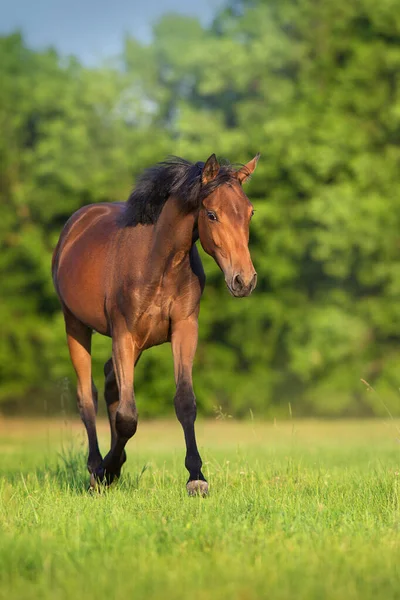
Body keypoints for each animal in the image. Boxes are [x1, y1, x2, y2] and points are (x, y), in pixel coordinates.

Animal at [51, 152, 260, 494]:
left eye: (250, 213)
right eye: (212, 214)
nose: (244, 280)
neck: (158, 262)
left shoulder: (184, 329)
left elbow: (184, 401)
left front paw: (196, 477)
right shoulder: (123, 334)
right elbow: (127, 416)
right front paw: (107, 469)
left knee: (110, 383)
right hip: (76, 326)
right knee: (87, 397)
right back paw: (96, 468)